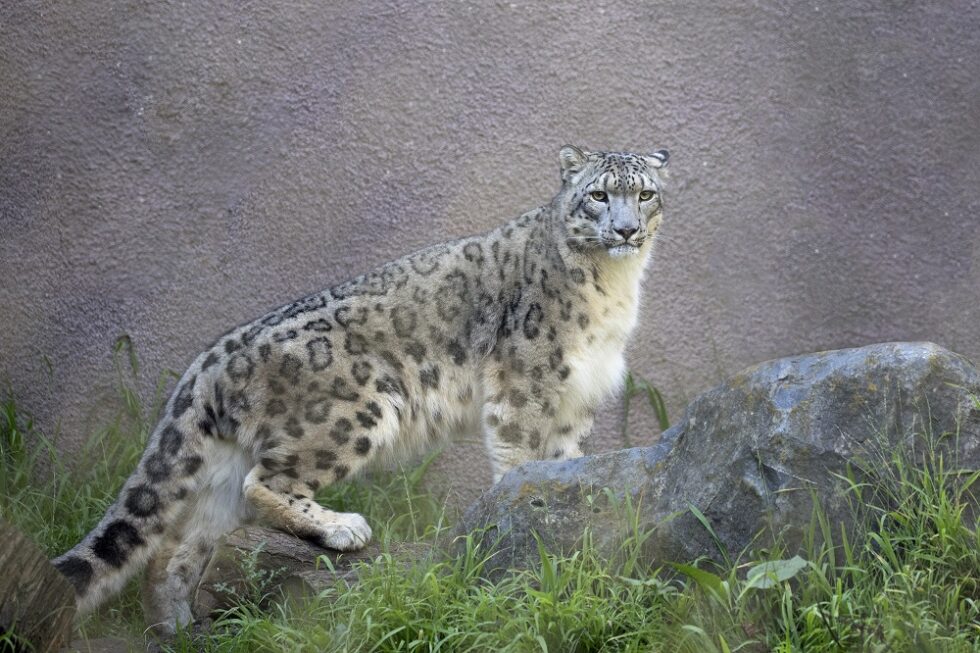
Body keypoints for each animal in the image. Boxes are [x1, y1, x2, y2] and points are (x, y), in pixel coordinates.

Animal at [52, 144, 670, 633]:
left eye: (645, 194)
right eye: (598, 195)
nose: (625, 230)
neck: (615, 289)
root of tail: (213, 354)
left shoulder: (575, 397)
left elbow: (565, 461)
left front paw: (568, 516)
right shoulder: (525, 384)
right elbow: (521, 457)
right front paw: (523, 511)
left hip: (223, 470)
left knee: (180, 543)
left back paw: (176, 623)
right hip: (355, 409)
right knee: (265, 483)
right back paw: (342, 528)